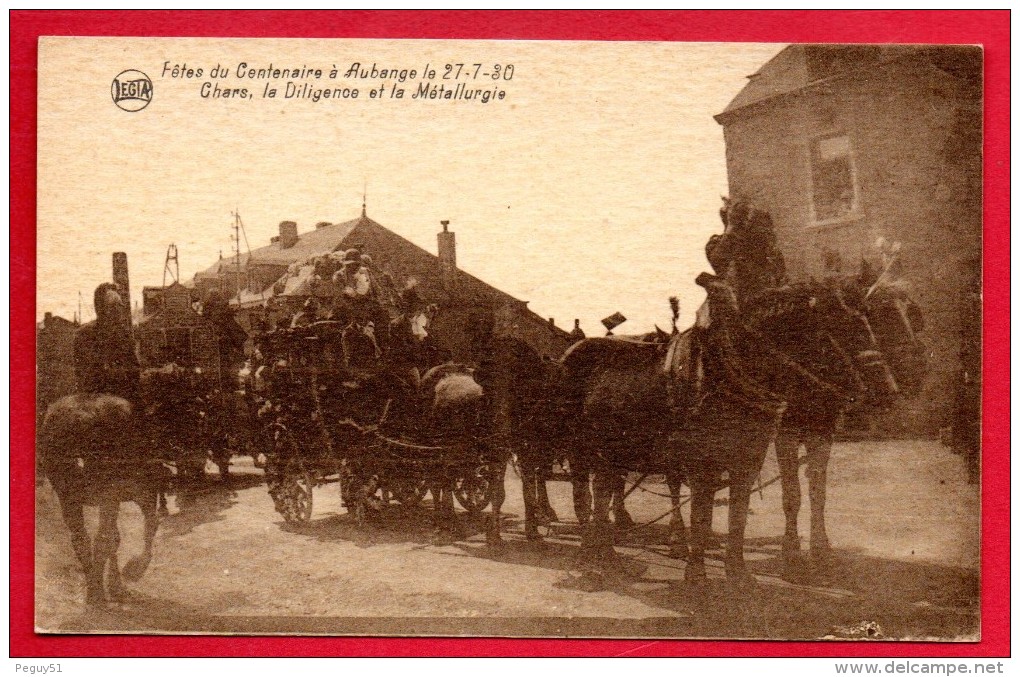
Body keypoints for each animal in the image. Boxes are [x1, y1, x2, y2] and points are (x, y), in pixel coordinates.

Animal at [37, 393, 168, 603]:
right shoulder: (128, 493)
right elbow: (136, 531)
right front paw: (126, 575)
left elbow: (111, 538)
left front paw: (111, 586)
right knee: (108, 536)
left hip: (76, 494)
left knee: (86, 538)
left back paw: (100, 587)